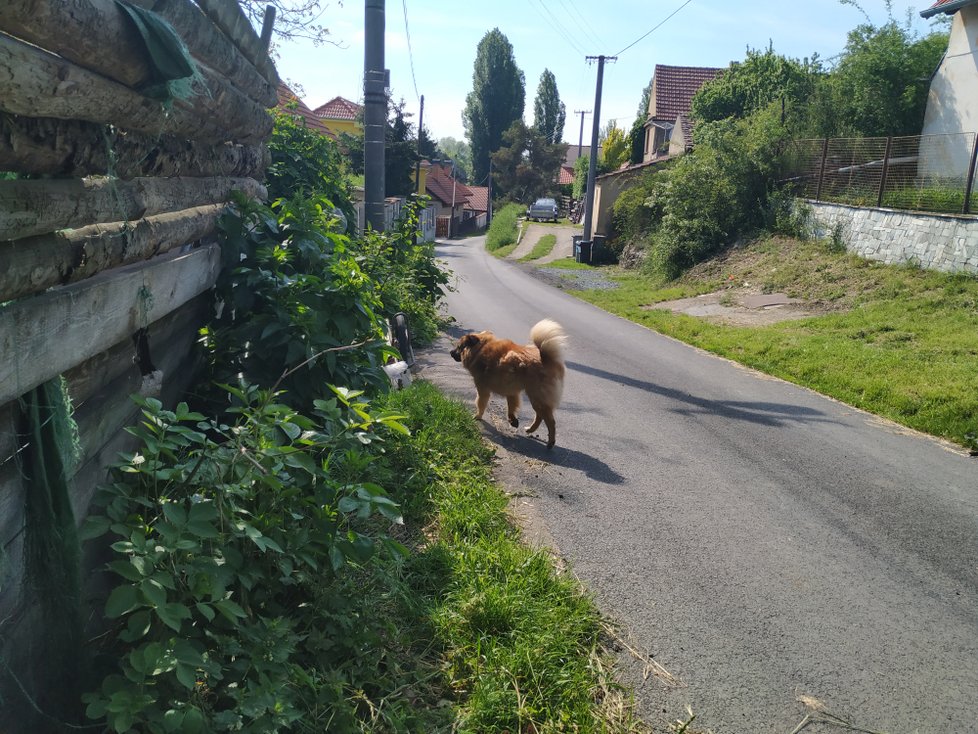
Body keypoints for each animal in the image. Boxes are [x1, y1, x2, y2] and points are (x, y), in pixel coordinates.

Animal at [448, 320, 564, 448]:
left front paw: (478, 416)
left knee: (550, 421)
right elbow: (511, 408)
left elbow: (481, 403)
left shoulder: (482, 388)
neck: (479, 350)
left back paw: (550, 442)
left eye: (459, 347)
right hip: (536, 398)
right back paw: (530, 429)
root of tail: (548, 359)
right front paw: (513, 421)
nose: (450, 352)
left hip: (537, 397)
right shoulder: (511, 392)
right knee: (540, 416)